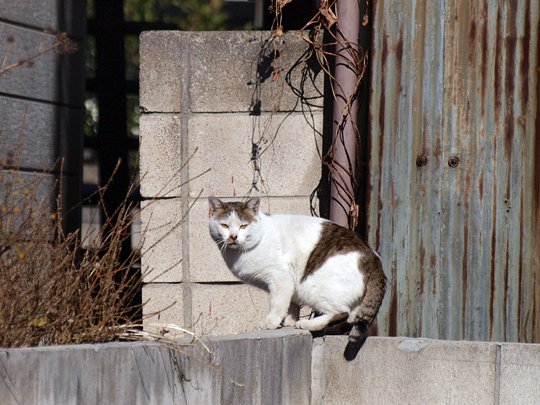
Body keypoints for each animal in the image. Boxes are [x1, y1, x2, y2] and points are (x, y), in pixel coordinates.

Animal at [209, 196, 386, 348]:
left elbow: (278, 303)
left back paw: (307, 324)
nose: (233, 236)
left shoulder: (280, 277)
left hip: (310, 286)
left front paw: (271, 323)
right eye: (224, 225)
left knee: (341, 312)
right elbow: (292, 303)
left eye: (243, 226)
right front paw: (289, 321)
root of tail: (375, 260)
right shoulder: (290, 282)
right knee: (350, 318)